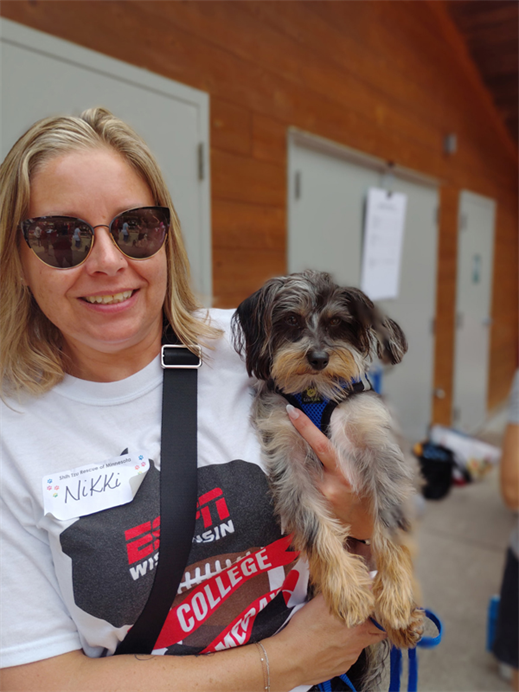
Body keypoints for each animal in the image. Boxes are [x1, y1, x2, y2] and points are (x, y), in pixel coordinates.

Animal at [232, 270, 424, 655]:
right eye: (292, 319)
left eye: (337, 323)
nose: (319, 357)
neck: (314, 393)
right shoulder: (288, 463)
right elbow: (315, 527)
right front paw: (348, 590)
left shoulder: (381, 451)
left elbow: (391, 523)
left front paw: (396, 595)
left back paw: (405, 621)